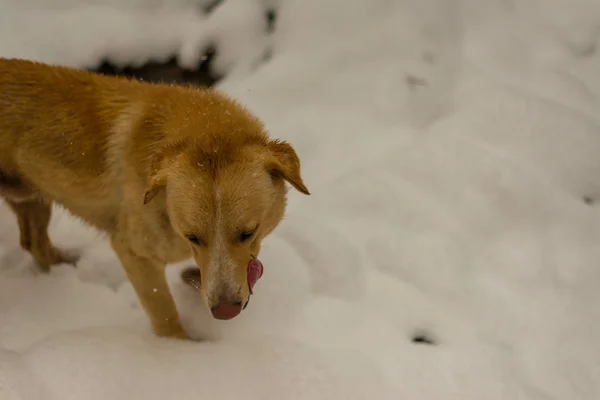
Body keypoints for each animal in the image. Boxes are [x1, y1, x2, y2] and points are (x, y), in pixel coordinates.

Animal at [0, 57, 310, 340]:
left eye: (248, 232)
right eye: (193, 237)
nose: (225, 311)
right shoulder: (134, 253)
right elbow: (165, 313)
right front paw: (178, 352)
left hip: (31, 199)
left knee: (34, 243)